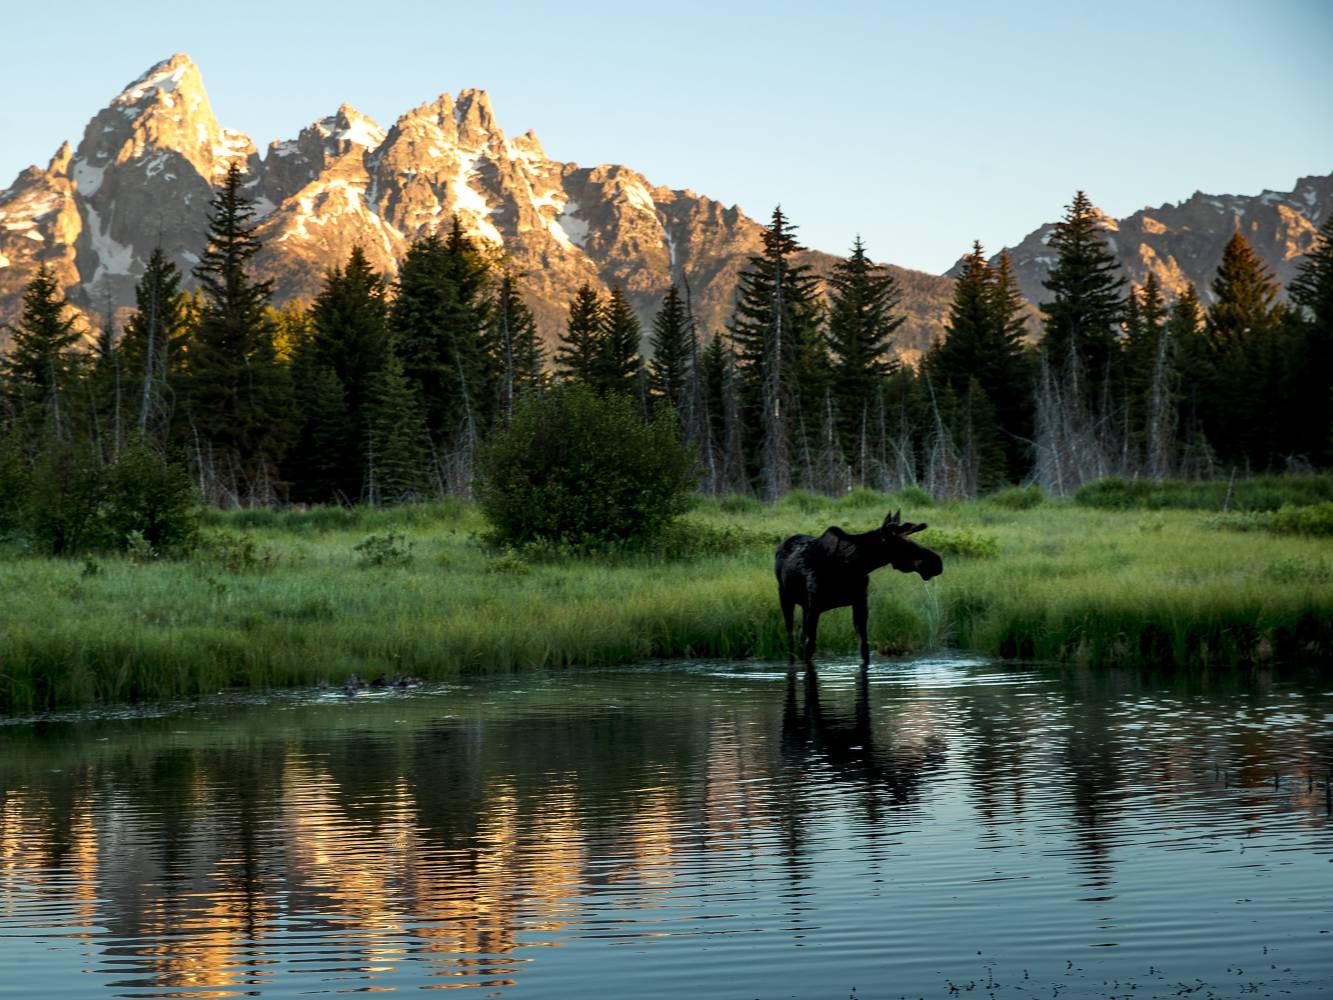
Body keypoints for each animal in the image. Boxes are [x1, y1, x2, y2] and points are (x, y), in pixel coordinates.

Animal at [778, 512, 943, 669]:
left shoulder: (860, 603)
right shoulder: (815, 607)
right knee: (791, 637)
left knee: (800, 635)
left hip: (804, 606)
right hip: (787, 599)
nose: (937, 562)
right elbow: (810, 648)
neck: (853, 565)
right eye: (903, 544)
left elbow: (864, 649)